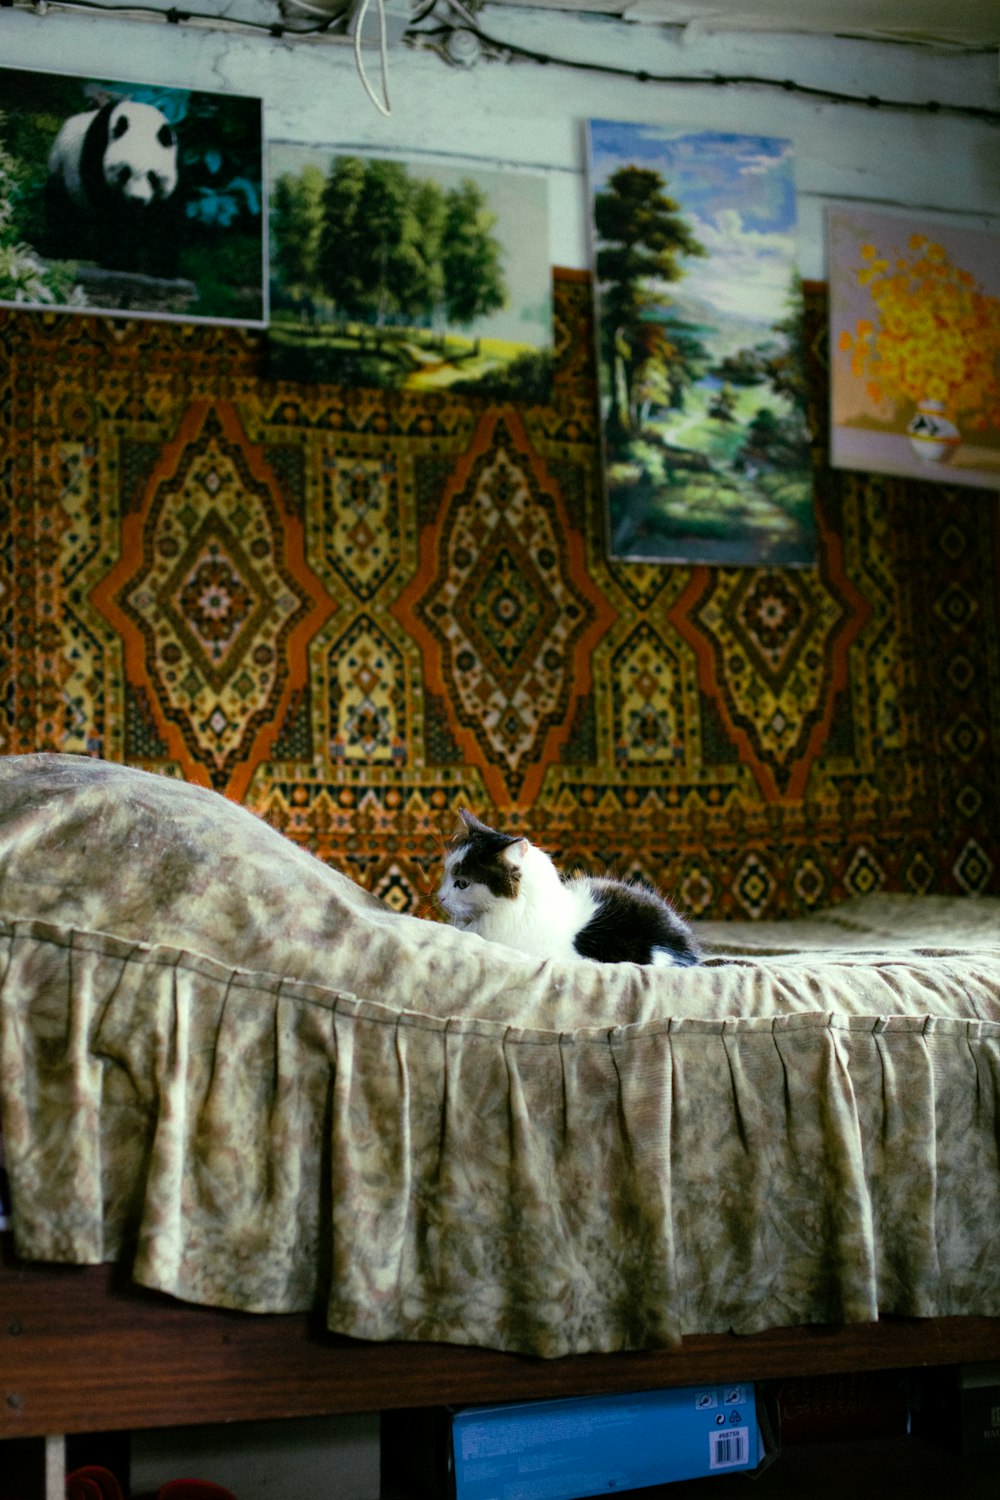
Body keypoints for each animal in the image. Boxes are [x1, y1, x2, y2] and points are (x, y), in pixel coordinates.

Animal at [44, 99, 182, 279]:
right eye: (125, 172)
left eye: (152, 177)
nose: (137, 200)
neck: (142, 121)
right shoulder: (96, 149)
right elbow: (111, 213)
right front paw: (121, 259)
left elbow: (164, 221)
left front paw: (157, 267)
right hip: (63, 172)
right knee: (62, 212)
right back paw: (62, 250)